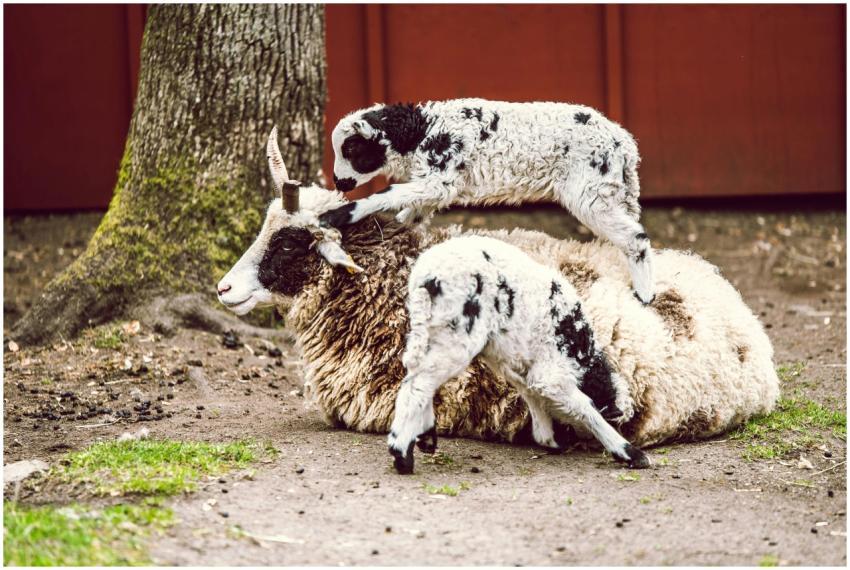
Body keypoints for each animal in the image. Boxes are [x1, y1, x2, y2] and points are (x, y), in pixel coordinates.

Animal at [321, 98, 656, 305]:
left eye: (351, 149)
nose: (338, 182)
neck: (421, 132)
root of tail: (624, 144)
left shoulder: (440, 180)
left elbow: (388, 193)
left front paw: (337, 215)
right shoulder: (434, 185)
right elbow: (410, 215)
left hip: (590, 192)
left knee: (635, 237)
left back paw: (646, 295)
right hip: (614, 191)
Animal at [387, 235, 649, 474]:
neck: (581, 352)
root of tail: (426, 278)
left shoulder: (515, 367)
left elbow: (533, 395)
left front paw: (548, 439)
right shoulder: (551, 372)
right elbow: (585, 407)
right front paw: (629, 453)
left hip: (430, 331)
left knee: (418, 376)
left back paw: (424, 438)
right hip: (456, 335)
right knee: (420, 383)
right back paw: (401, 455)